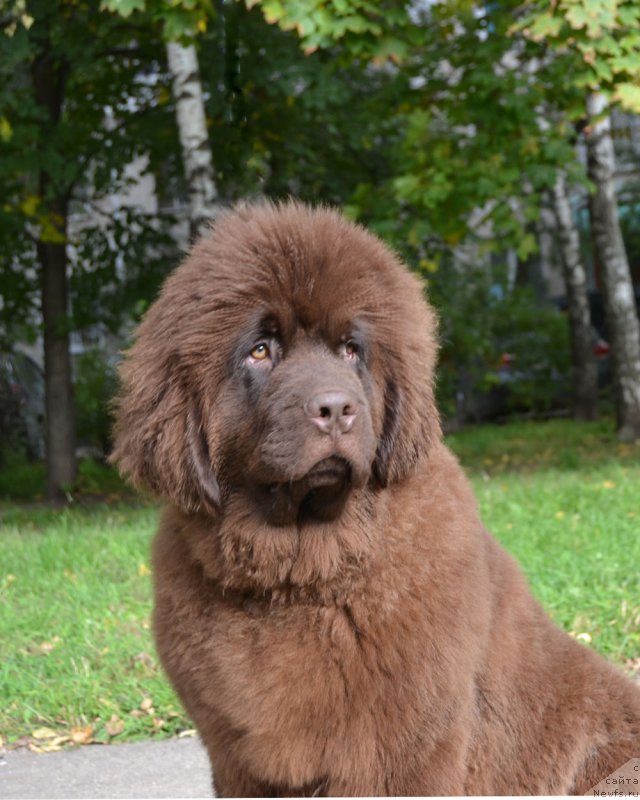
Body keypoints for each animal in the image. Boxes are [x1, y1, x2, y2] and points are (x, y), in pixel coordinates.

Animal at [111, 198, 640, 792]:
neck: (301, 576)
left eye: (350, 349)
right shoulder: (238, 761)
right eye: (260, 351)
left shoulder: (406, 751)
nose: (336, 408)